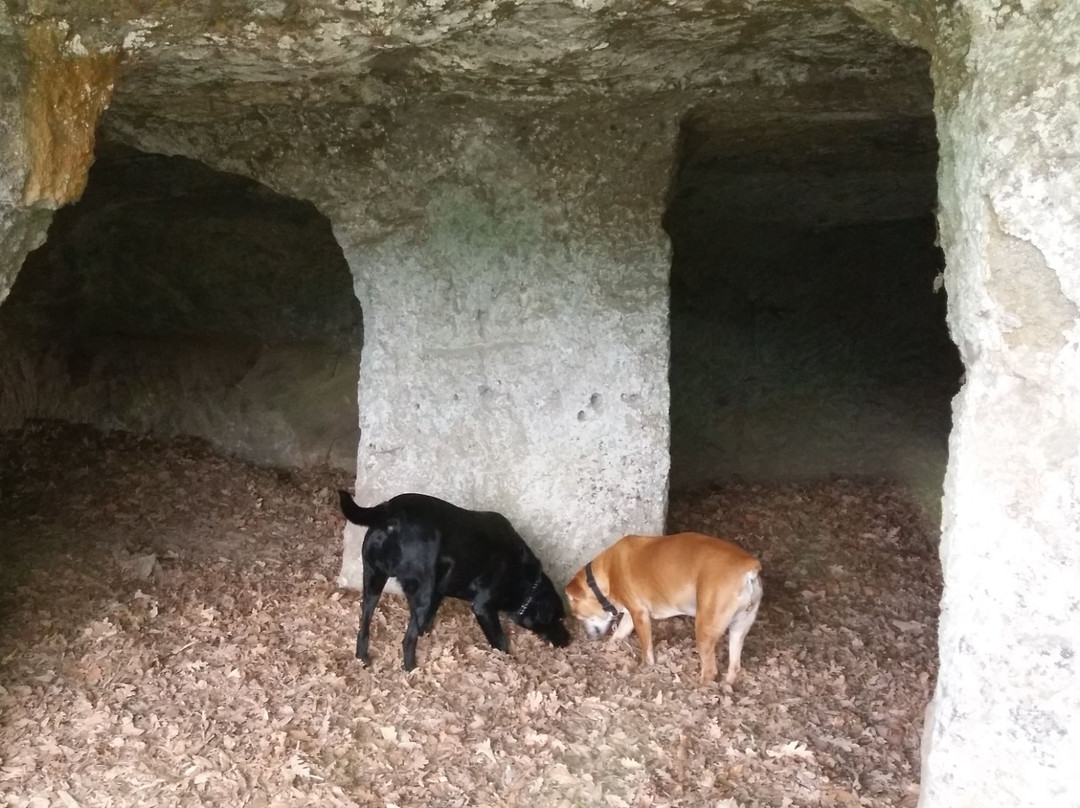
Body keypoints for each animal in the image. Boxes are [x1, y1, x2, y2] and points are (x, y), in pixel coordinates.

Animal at [336, 488, 574, 674]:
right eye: (558, 618)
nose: (569, 640)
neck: (525, 581)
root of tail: (391, 510)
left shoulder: (438, 591)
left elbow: (429, 618)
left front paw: (426, 631)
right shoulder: (483, 607)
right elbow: (500, 641)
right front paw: (510, 662)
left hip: (373, 581)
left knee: (364, 626)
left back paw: (362, 658)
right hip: (419, 592)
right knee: (407, 640)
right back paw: (412, 669)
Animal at [565, 533, 760, 687]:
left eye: (578, 616)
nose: (587, 637)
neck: (604, 576)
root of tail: (749, 566)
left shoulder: (639, 615)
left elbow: (646, 649)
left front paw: (646, 666)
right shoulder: (630, 616)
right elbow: (618, 635)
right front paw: (609, 648)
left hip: (705, 629)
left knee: (710, 670)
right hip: (739, 630)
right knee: (734, 666)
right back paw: (727, 686)